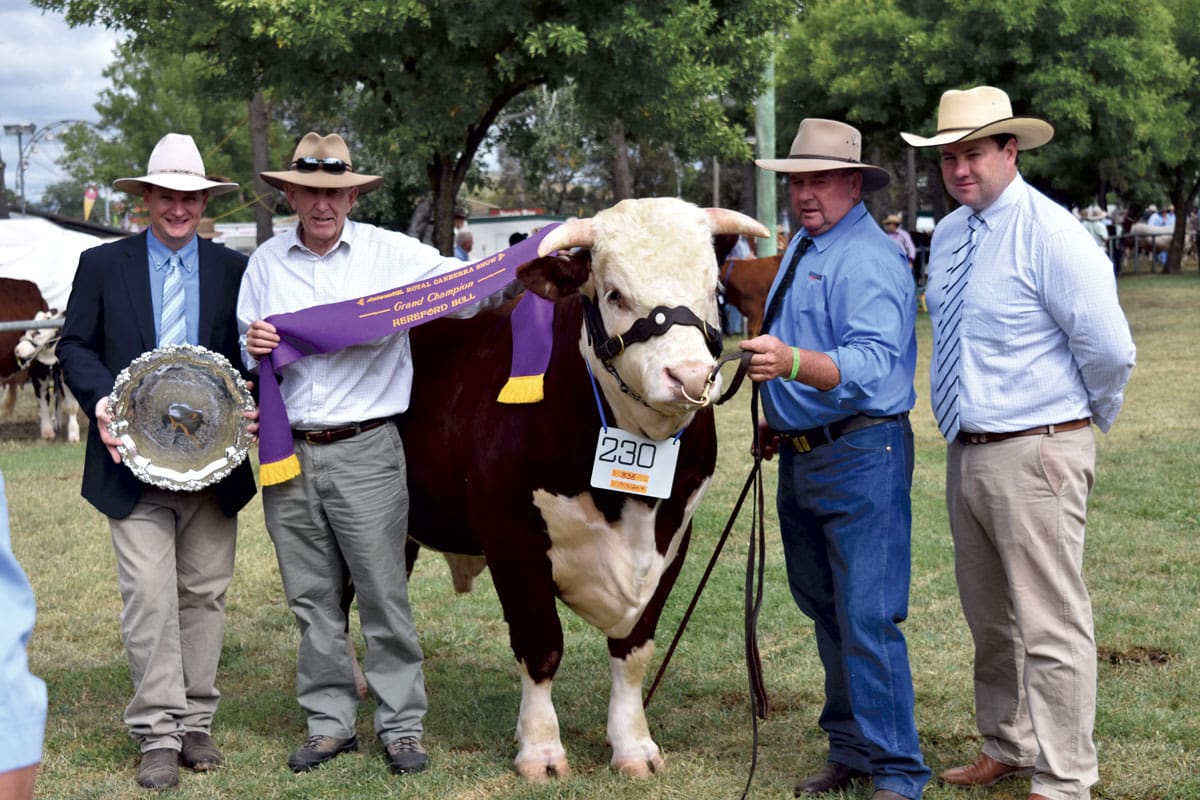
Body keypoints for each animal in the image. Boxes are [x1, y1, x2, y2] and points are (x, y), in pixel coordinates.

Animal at [398, 200, 763, 782]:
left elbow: (634, 649)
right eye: (614, 293)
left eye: (715, 289)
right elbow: (541, 644)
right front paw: (540, 749)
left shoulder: (674, 539)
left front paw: (633, 745)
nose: (688, 376)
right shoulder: (511, 535)